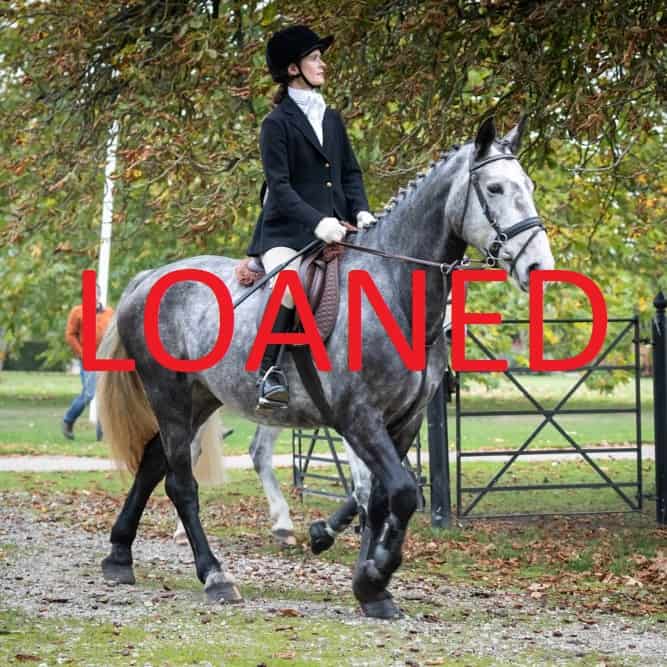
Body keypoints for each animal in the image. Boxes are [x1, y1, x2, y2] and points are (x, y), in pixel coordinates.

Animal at [97, 117, 554, 619]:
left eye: (529, 185)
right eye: (494, 188)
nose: (539, 266)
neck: (393, 291)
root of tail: (150, 279)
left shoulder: (405, 420)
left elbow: (382, 498)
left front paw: (371, 588)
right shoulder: (358, 417)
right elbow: (399, 492)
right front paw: (374, 575)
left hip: (199, 399)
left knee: (151, 464)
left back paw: (119, 556)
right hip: (170, 397)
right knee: (180, 482)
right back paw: (215, 576)